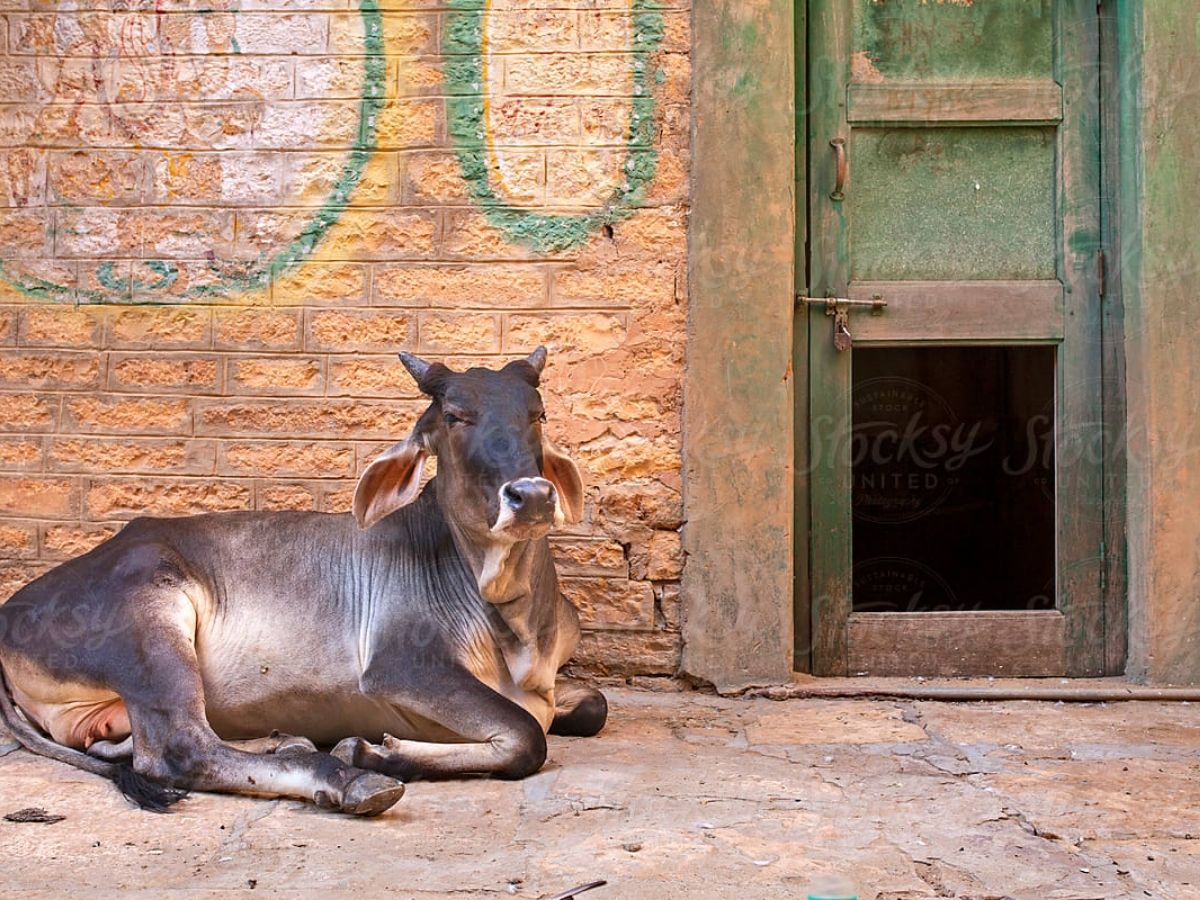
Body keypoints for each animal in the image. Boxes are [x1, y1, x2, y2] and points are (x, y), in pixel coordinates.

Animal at [0, 348, 607, 816]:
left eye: (538, 414)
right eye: (456, 416)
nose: (531, 495)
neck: (516, 617)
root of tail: (9, 612)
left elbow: (592, 707)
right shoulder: (403, 666)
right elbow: (527, 736)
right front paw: (369, 753)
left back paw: (286, 742)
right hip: (151, 618)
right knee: (179, 748)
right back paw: (347, 780)